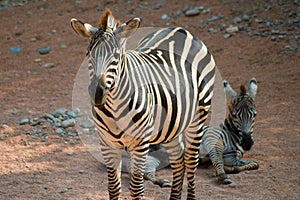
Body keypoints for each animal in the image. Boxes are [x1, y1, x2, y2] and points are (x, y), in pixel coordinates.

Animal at [70, 8, 216, 199]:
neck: (114, 106)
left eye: (116, 56)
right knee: (179, 160)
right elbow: (113, 186)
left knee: (191, 161)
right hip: (171, 124)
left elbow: (136, 188)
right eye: (89, 54)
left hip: (199, 114)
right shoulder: (107, 142)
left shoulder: (140, 143)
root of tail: (180, 29)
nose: (98, 93)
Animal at [123, 77, 258, 186]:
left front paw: (231, 170)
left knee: (142, 173)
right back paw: (164, 182)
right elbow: (217, 159)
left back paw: (162, 182)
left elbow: (253, 164)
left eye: (254, 115)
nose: (247, 143)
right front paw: (223, 176)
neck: (231, 135)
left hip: (152, 159)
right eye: (235, 116)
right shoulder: (211, 139)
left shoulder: (230, 157)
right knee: (141, 174)